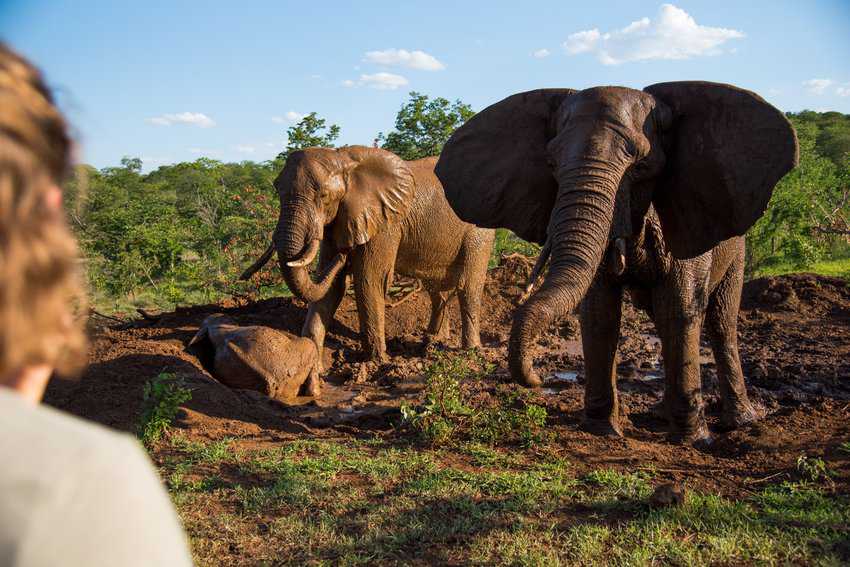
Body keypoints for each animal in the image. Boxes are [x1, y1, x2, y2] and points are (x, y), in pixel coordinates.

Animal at [242, 144, 494, 390]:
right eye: (277, 189)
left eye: (323, 195)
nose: (344, 255)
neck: (343, 161)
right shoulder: (339, 221)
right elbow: (331, 289)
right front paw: (312, 368)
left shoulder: (385, 224)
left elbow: (369, 280)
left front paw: (377, 361)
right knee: (436, 289)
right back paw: (433, 341)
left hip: (478, 231)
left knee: (468, 286)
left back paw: (470, 350)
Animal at [434, 83, 800, 448]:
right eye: (551, 163)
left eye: (640, 166)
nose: (536, 378)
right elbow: (599, 313)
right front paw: (600, 430)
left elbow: (680, 307)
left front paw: (693, 440)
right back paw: (662, 415)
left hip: (737, 246)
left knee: (719, 322)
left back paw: (738, 421)